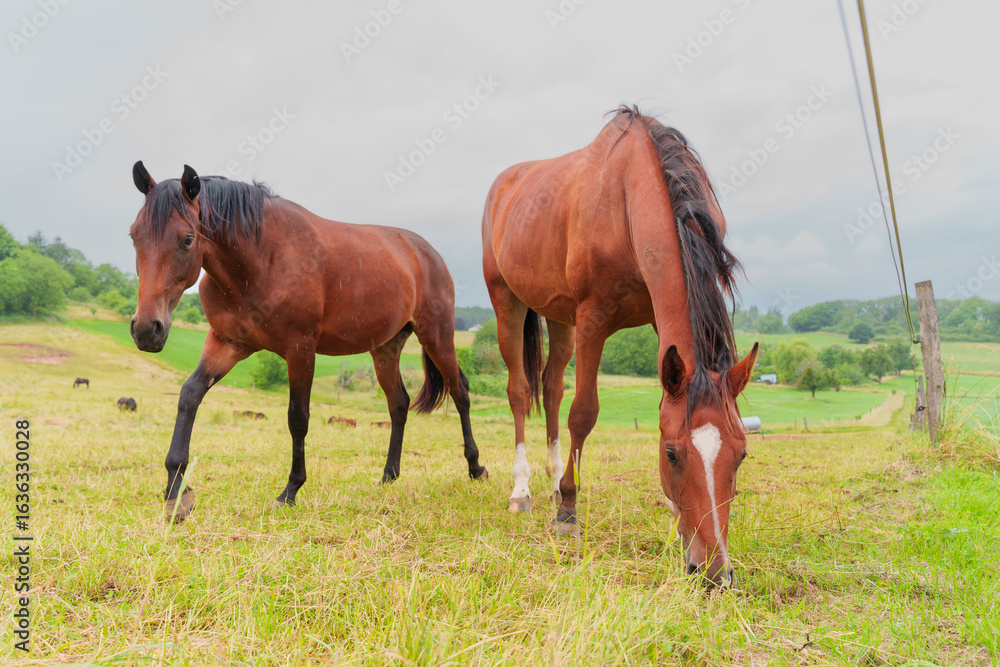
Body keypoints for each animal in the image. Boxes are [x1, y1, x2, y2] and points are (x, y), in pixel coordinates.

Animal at [128, 162, 488, 522]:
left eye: (188, 239)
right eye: (133, 235)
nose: (147, 329)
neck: (260, 259)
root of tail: (427, 253)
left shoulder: (300, 349)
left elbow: (297, 417)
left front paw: (291, 490)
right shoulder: (227, 343)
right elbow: (189, 396)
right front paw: (176, 491)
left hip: (437, 335)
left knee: (460, 392)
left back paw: (475, 467)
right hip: (385, 349)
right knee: (398, 404)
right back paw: (389, 475)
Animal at [482, 107, 758, 589]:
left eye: (741, 454)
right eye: (672, 453)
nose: (714, 573)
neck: (627, 198)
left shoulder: (653, 319)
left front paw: (674, 520)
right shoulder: (593, 317)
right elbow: (584, 412)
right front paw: (567, 512)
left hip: (559, 317)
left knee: (550, 388)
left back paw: (554, 477)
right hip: (507, 302)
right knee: (520, 391)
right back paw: (525, 490)